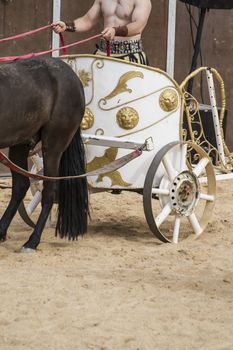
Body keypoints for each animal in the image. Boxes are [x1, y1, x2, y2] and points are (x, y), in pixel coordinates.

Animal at [0, 57, 88, 250]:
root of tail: (73, 77)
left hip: (53, 148)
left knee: (48, 192)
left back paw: (32, 241)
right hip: (20, 143)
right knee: (20, 186)